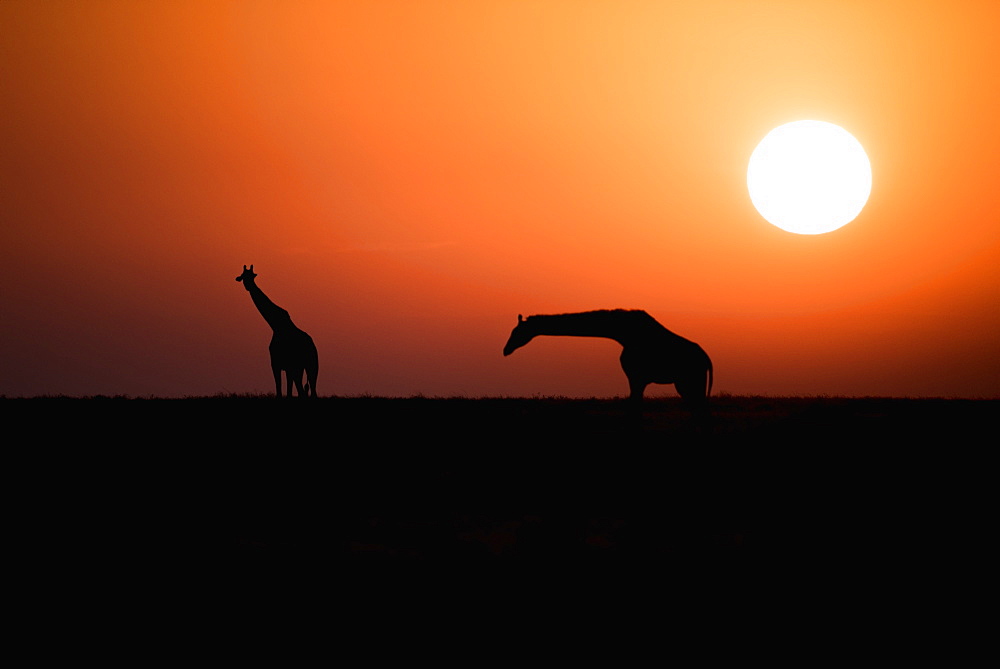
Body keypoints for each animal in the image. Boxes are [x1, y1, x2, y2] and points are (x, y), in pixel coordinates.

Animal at [234, 264, 316, 396]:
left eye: (251, 276)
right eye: (243, 276)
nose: (248, 286)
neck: (275, 325)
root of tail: (312, 346)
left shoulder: (280, 365)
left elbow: (281, 391)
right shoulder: (283, 366)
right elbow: (286, 392)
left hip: (305, 366)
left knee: (305, 391)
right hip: (307, 367)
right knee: (308, 391)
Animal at [508, 310, 712, 412]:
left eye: (516, 332)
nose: (505, 349)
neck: (621, 334)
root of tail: (707, 360)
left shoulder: (637, 377)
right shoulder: (638, 379)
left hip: (689, 381)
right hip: (688, 383)